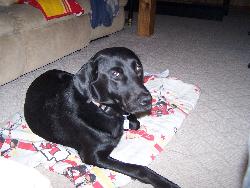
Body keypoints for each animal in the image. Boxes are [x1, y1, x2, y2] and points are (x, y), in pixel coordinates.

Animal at [23, 47, 180, 188]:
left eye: (138, 68)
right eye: (115, 73)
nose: (147, 100)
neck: (102, 109)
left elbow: (135, 123)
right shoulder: (94, 156)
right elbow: (139, 168)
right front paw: (166, 183)